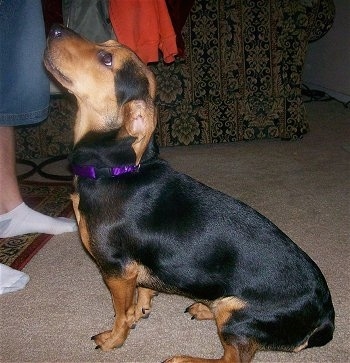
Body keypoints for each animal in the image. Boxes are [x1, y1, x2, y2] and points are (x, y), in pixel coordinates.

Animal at [43, 24, 334, 362]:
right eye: (107, 44)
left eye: (106, 59)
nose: (55, 28)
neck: (114, 170)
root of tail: (325, 317)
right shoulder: (135, 271)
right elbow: (141, 295)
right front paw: (140, 311)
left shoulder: (116, 271)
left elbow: (119, 313)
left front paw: (114, 339)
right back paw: (205, 308)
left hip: (238, 314)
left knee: (233, 359)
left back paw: (183, 357)